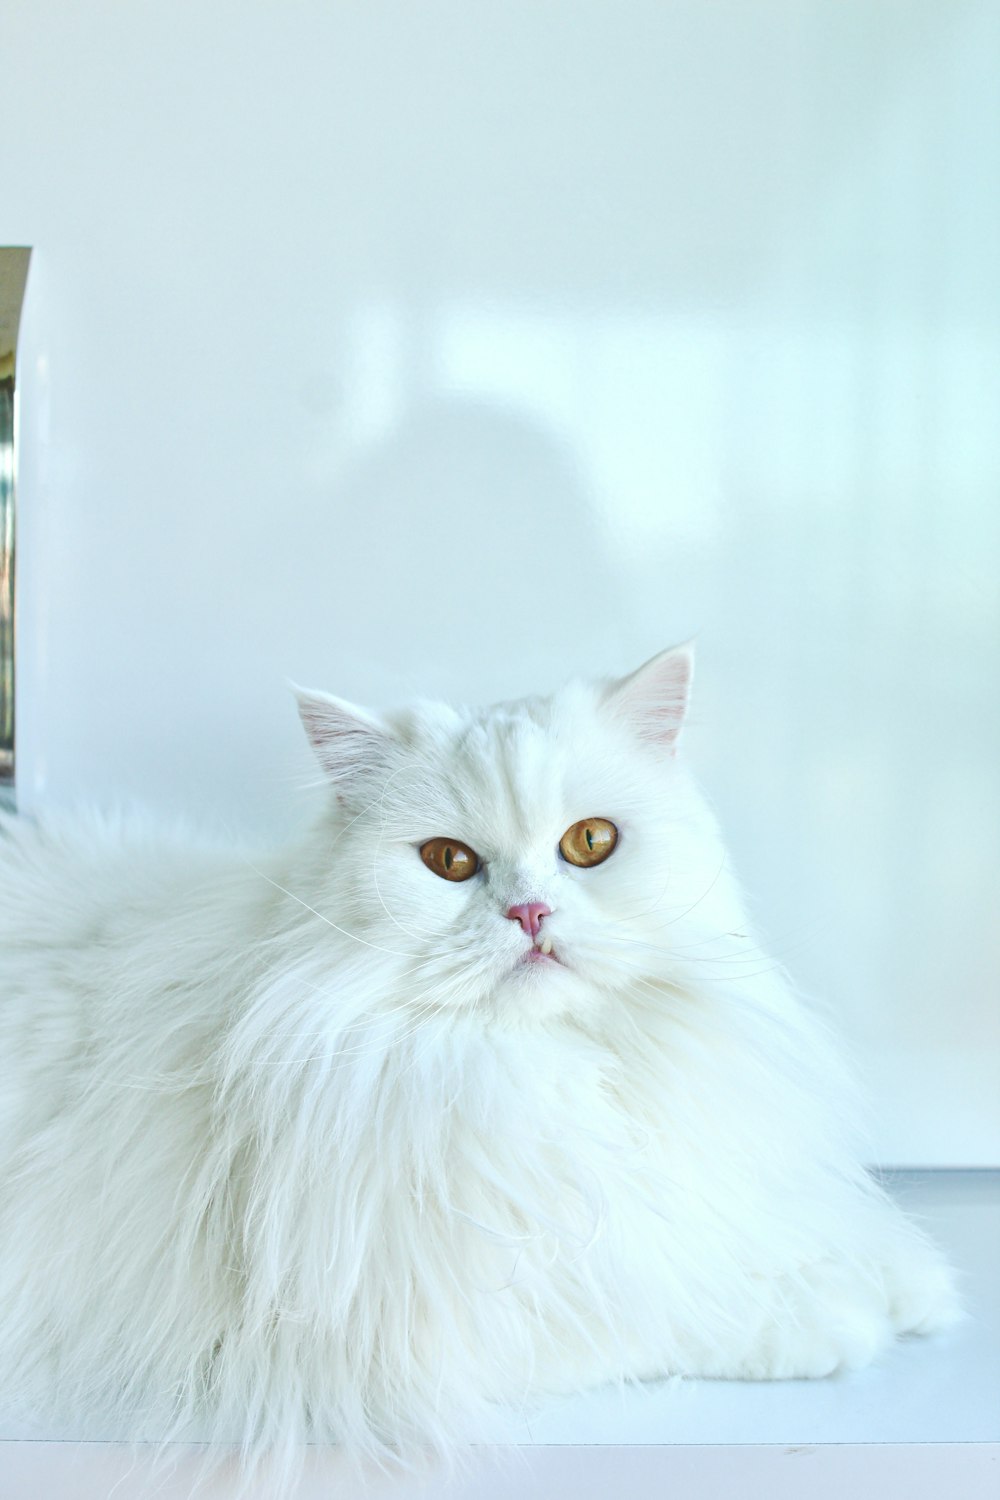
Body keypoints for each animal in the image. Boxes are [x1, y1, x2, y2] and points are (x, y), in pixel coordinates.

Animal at [0, 648, 959, 1476]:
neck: (525, 1065)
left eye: (590, 843)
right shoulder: (411, 1320)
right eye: (449, 862)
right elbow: (659, 1303)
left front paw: (902, 1275)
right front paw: (832, 1314)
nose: (529, 913)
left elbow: (753, 1229)